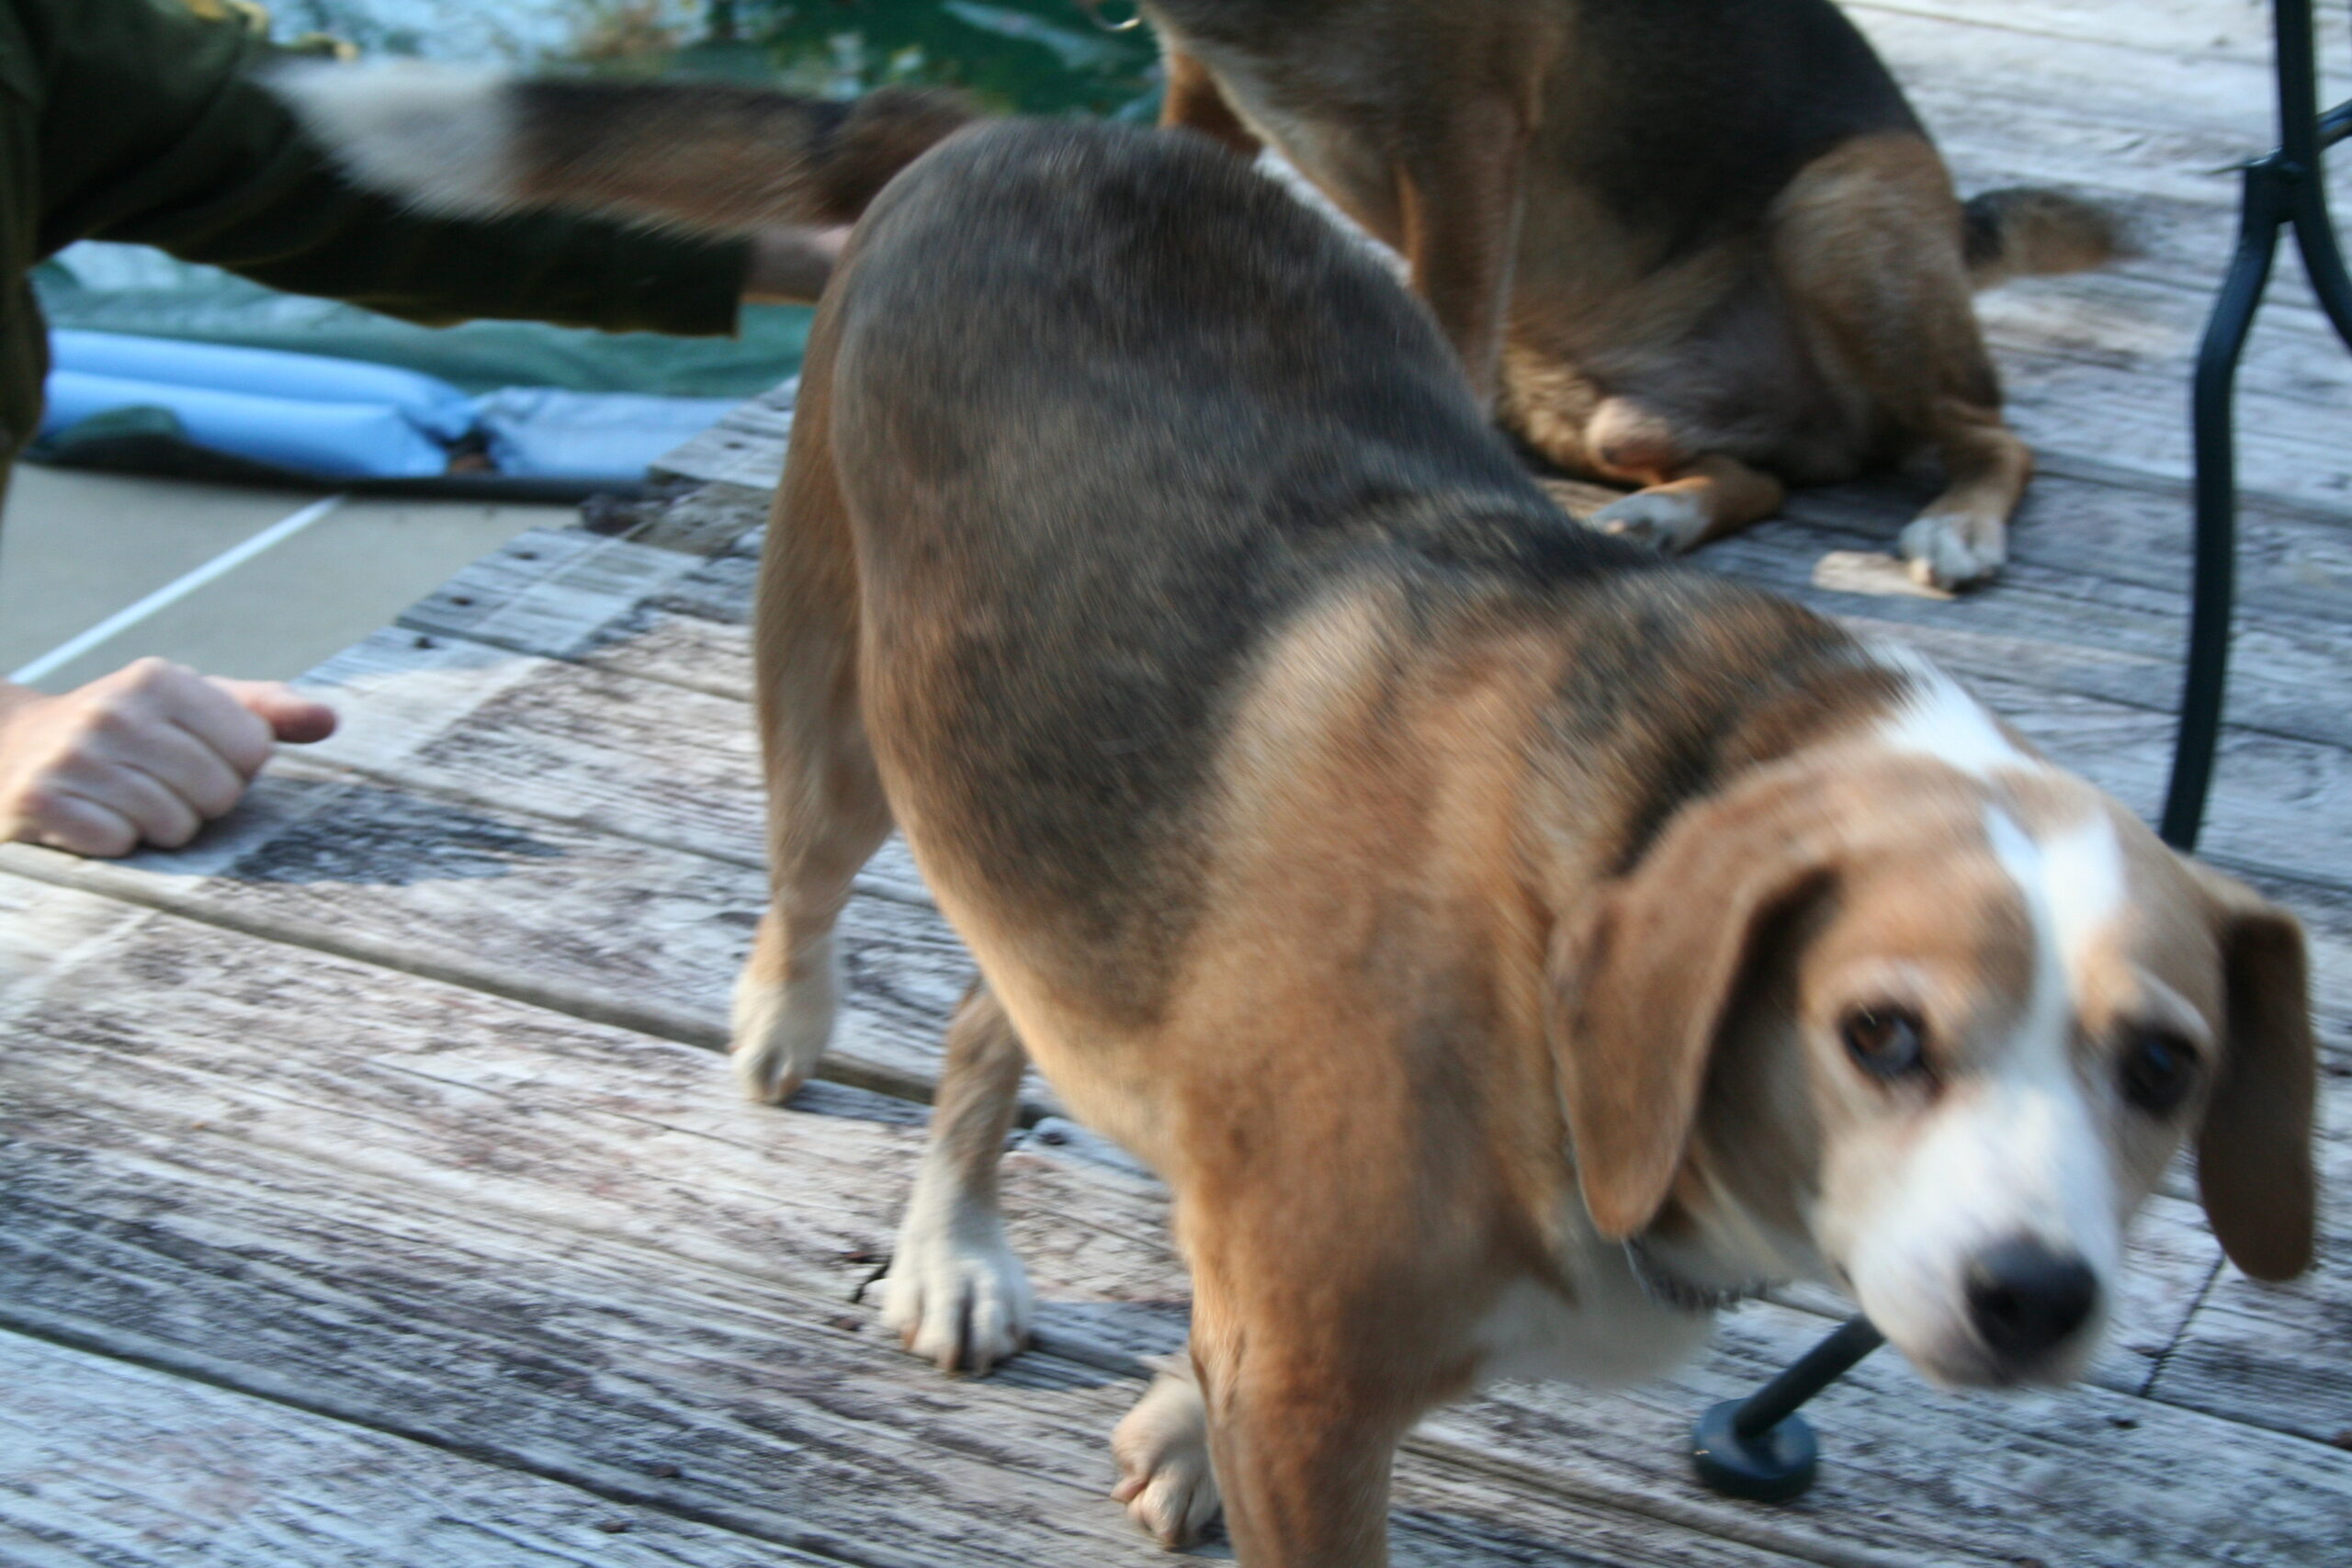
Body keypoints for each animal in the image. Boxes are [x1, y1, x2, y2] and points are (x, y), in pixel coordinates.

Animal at [279, 80, 2314, 1568]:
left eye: (2164, 1066)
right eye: (1878, 1034)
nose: (2036, 1296)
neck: (1652, 788)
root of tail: (1025, 122)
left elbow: (1216, 1323)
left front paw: (1181, 1420)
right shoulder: (1328, 1404)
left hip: (1071, 814)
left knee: (992, 1010)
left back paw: (956, 1240)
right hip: (841, 696)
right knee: (809, 881)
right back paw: (801, 1041)